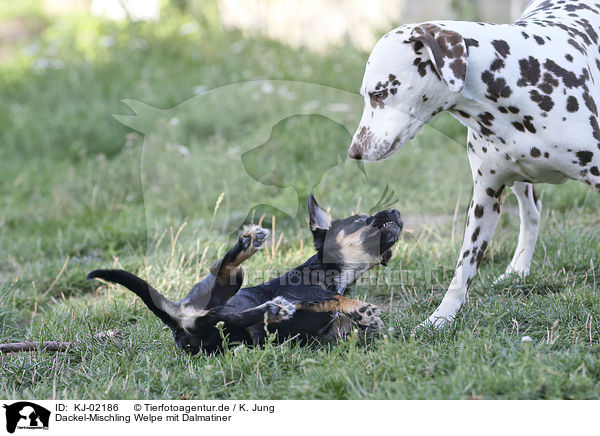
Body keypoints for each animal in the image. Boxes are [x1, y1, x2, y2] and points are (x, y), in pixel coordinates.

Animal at [86, 195, 400, 354]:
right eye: (361, 220)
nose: (396, 211)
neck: (337, 275)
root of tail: (177, 320)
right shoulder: (301, 292)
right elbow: (331, 298)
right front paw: (360, 309)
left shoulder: (331, 329)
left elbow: (343, 320)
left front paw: (363, 320)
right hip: (226, 289)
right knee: (223, 274)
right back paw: (249, 251)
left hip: (224, 326)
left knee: (230, 317)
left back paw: (272, 310)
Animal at [350, 0, 600, 328]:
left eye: (380, 92)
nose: (354, 151)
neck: (516, 82)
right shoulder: (485, 198)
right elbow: (462, 271)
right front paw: (440, 318)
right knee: (532, 213)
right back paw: (518, 269)